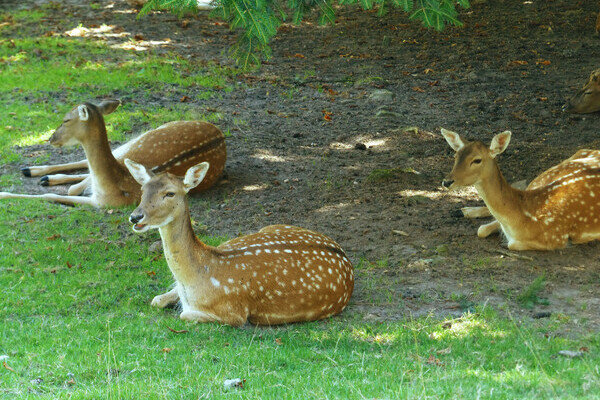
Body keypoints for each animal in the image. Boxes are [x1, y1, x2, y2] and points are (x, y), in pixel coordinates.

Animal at [1, 100, 225, 208]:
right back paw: (34, 171)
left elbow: (55, 195)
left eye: (66, 120)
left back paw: (42, 176)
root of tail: (221, 134)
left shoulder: (103, 203)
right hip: (141, 138)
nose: (51, 138)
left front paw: (3, 194)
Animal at [124, 159, 354, 324]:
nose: (136, 217)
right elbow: (156, 300)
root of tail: (344, 256)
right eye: (143, 190)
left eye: (170, 193)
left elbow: (184, 314)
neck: (195, 280)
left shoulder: (233, 314)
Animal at [440, 127, 600, 250]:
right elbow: (482, 229)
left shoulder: (556, 237)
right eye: (455, 156)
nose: (447, 181)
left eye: (477, 160)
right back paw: (462, 211)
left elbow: (509, 243)